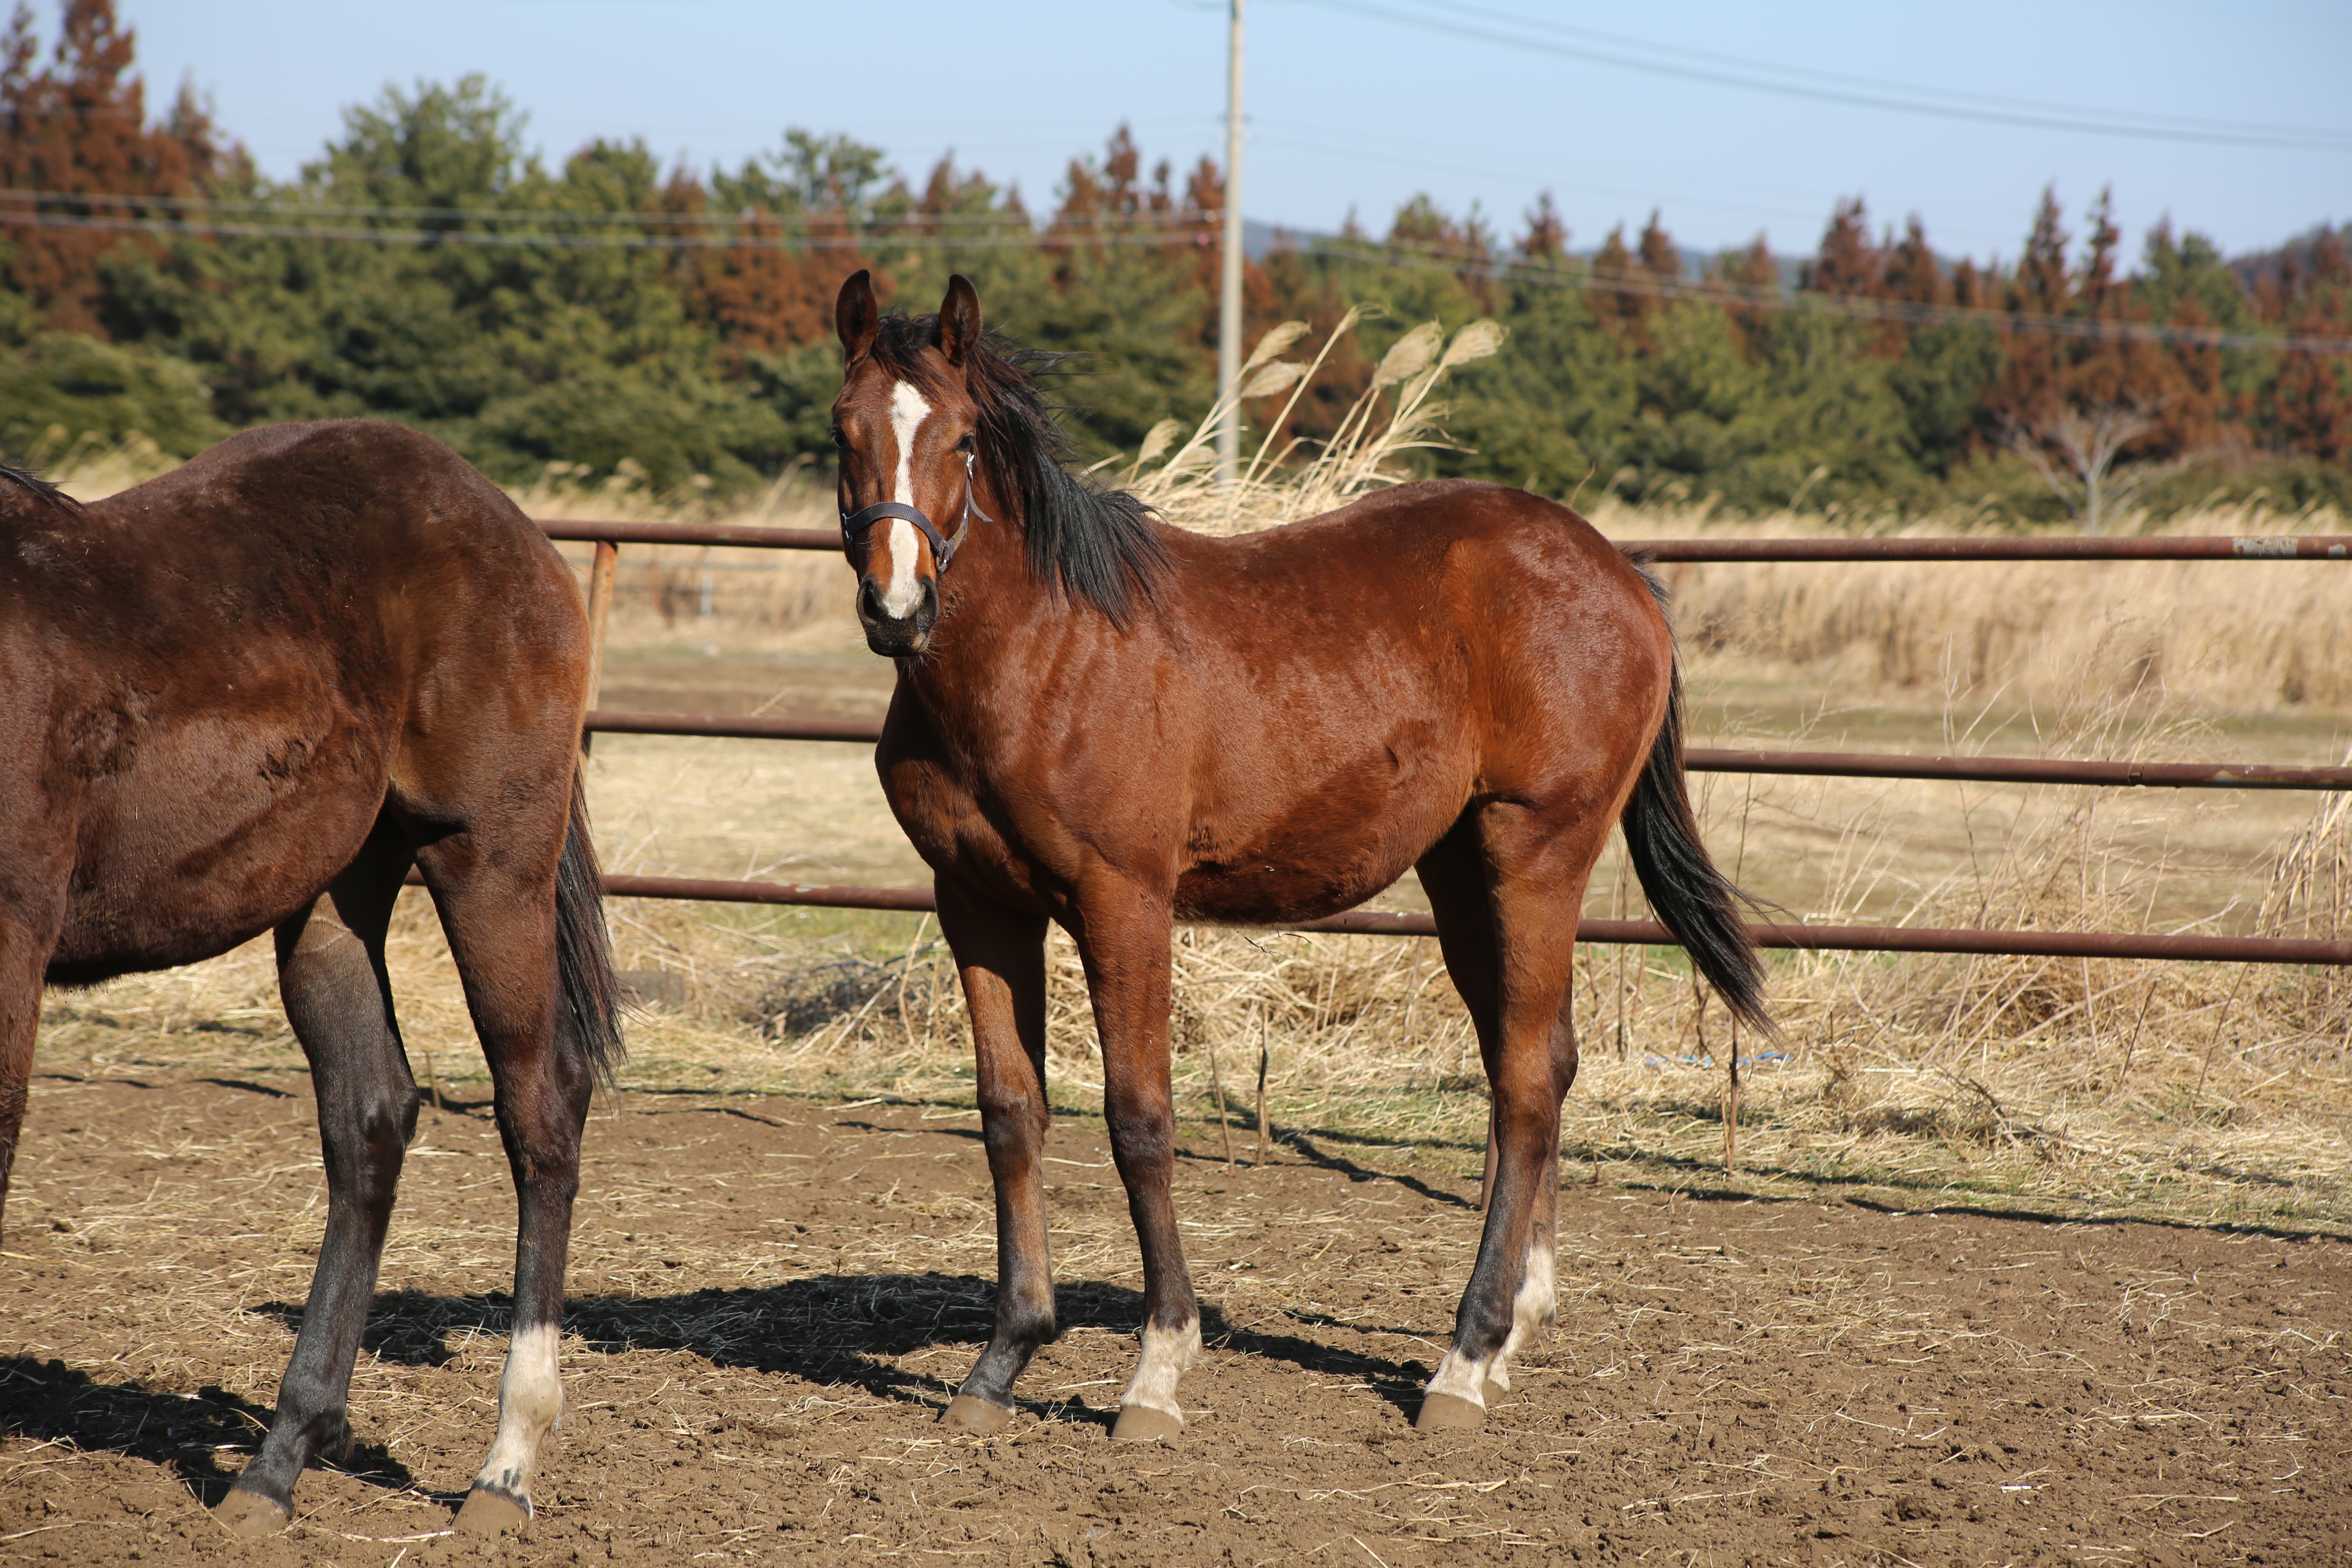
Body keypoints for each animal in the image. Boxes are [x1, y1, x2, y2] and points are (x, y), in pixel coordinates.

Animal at [0, 416, 626, 1532]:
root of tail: (507, 522)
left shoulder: (12, 934)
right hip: (335, 900)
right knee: (370, 1116)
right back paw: (277, 1462)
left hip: (489, 862)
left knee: (540, 1108)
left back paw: (505, 1465)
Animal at [828, 270, 1768, 1439]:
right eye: (842, 431)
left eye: (960, 441)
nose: (896, 607)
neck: (1043, 652)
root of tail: (1623, 574)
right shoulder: (978, 903)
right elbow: (1010, 1116)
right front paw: (1001, 1360)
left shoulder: (1121, 899)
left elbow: (1139, 1118)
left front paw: (1157, 1370)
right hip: (1460, 869)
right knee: (1543, 1060)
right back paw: (1513, 1326)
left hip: (1535, 850)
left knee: (1520, 1082)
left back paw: (1463, 1360)